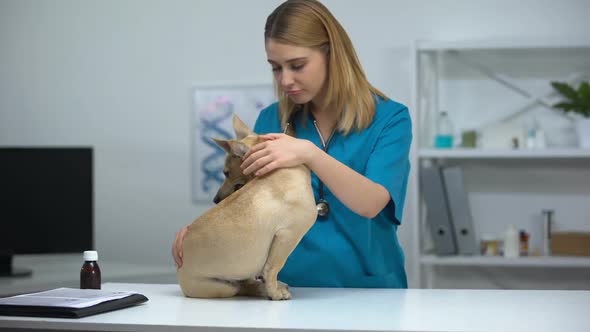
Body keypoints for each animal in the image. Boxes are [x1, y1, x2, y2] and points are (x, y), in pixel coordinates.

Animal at [178, 114, 320, 300]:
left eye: (226, 173)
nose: (216, 199)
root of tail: (179, 273)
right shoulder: (287, 236)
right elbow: (273, 268)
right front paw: (275, 293)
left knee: (246, 284)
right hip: (224, 287)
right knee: (241, 287)